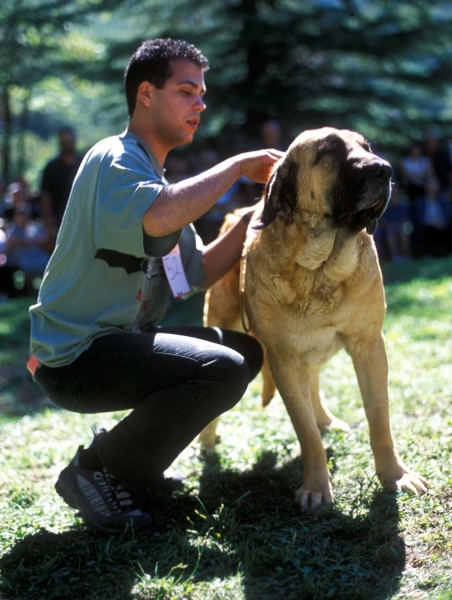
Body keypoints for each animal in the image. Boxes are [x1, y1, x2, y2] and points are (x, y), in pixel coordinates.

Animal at [200, 127, 428, 510]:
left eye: (366, 147)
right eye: (329, 152)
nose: (385, 170)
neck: (321, 270)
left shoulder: (369, 346)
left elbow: (379, 421)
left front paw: (395, 475)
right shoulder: (284, 359)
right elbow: (305, 433)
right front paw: (316, 488)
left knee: (316, 380)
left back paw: (325, 420)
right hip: (223, 323)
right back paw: (206, 442)